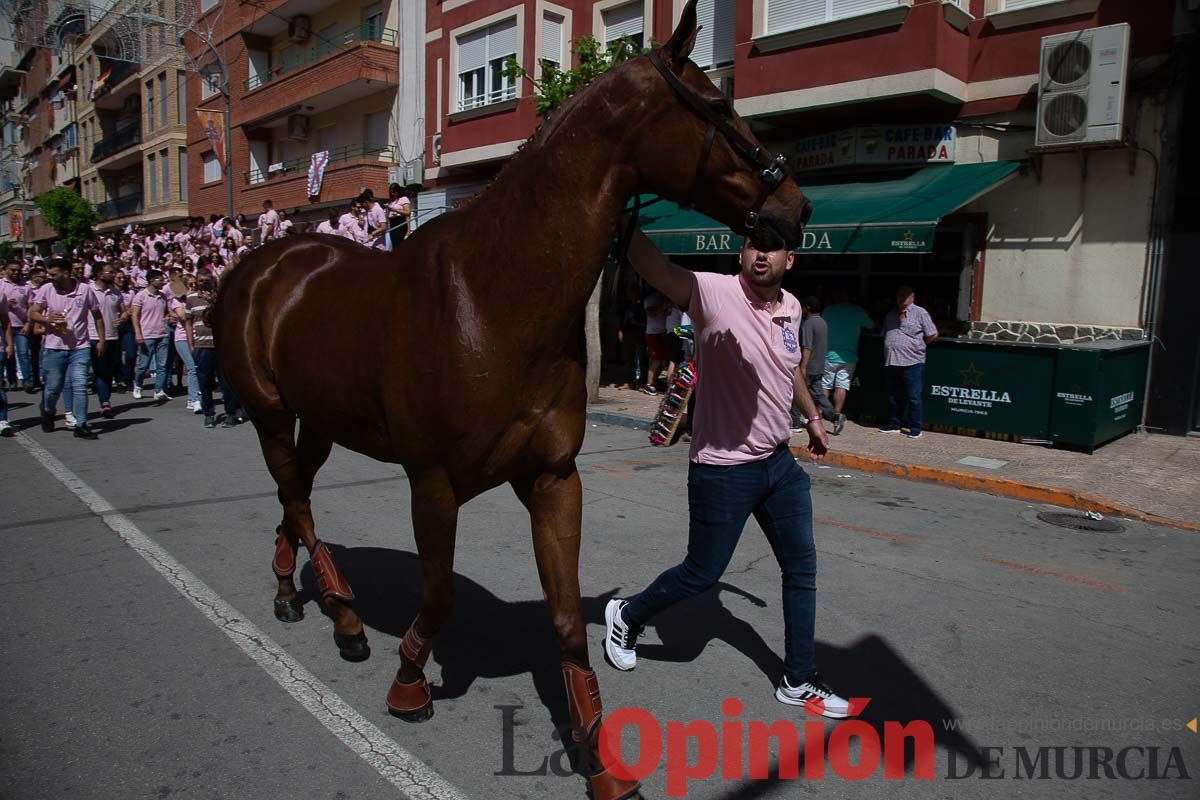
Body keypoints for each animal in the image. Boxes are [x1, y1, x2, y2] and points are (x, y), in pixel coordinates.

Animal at [213, 3, 816, 796]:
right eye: (716, 105)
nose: (796, 205)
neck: (494, 298)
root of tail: (257, 265)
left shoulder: (552, 478)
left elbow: (563, 619)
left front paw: (600, 756)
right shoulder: (434, 482)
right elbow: (439, 593)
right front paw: (410, 682)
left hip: (317, 420)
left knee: (296, 497)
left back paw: (293, 593)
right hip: (269, 413)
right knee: (299, 501)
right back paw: (345, 620)